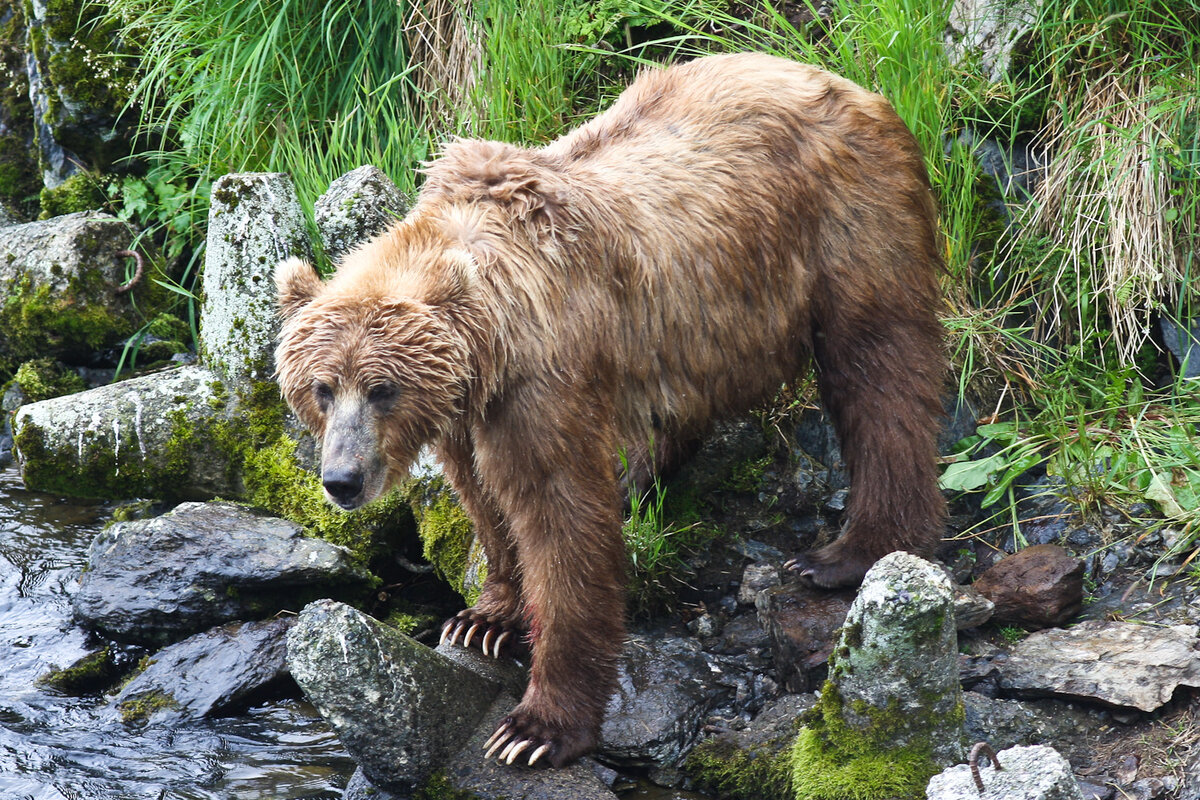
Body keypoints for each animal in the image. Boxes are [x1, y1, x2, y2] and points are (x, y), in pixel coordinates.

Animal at [274, 51, 945, 767]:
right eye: (322, 388)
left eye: (381, 389)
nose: (341, 480)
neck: (491, 340)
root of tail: (845, 82)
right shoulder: (463, 409)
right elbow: (483, 496)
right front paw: (484, 618)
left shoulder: (541, 381)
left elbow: (558, 513)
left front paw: (535, 727)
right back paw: (636, 480)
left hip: (847, 229)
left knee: (880, 373)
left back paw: (846, 552)